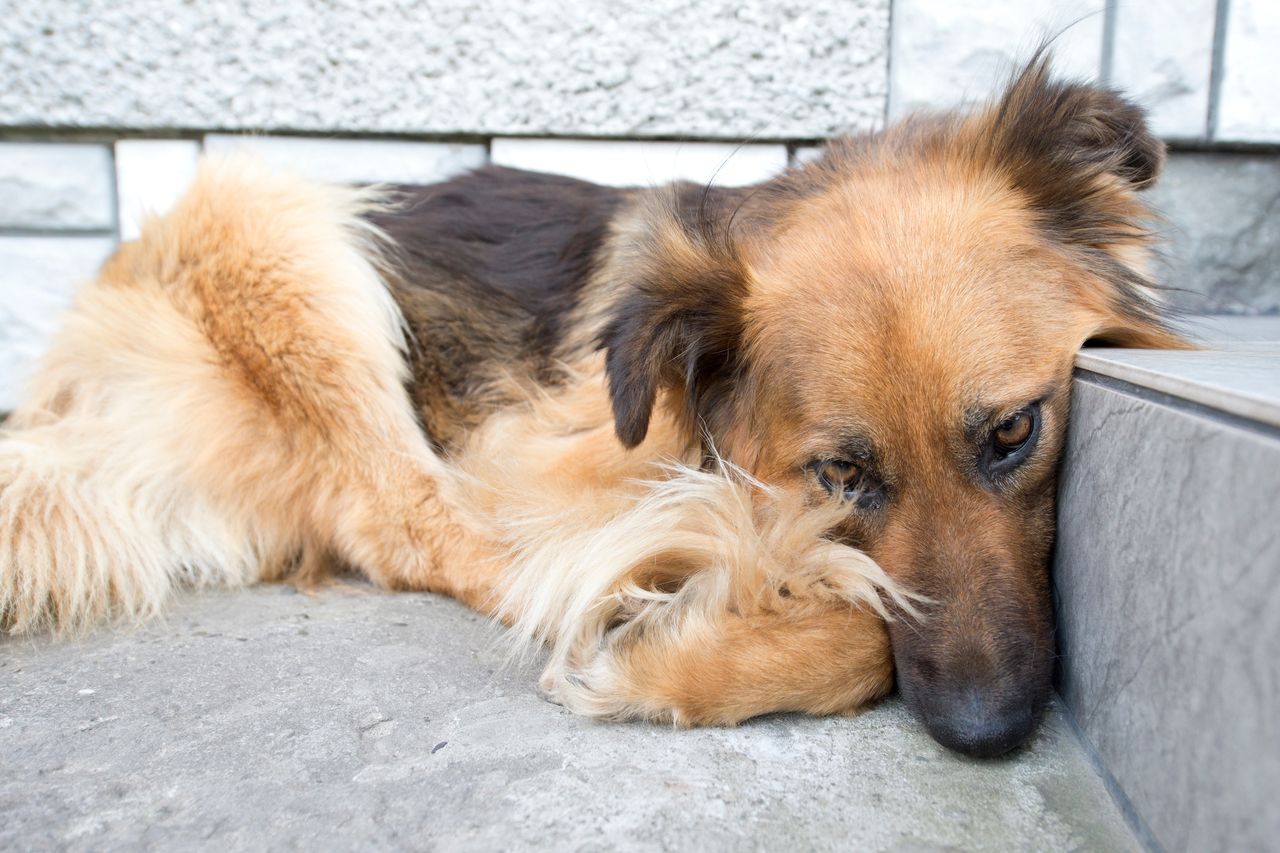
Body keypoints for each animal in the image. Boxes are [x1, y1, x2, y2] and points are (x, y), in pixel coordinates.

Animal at [0, 56, 1187, 753]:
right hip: (274, 222)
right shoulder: (536, 457)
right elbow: (865, 625)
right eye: (841, 473)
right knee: (410, 526)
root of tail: (60, 407)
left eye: (1013, 432)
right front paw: (681, 636)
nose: (987, 731)